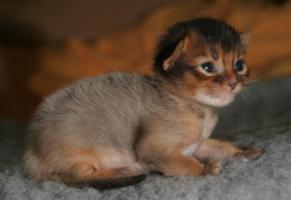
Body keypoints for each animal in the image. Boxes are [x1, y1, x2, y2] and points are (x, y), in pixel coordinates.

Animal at [23, 17, 264, 189]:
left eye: (239, 65)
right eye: (208, 67)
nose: (233, 84)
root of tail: (32, 153)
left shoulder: (199, 144)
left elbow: (220, 145)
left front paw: (242, 151)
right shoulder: (152, 149)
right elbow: (184, 163)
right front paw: (204, 168)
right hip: (82, 156)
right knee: (77, 177)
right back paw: (124, 171)